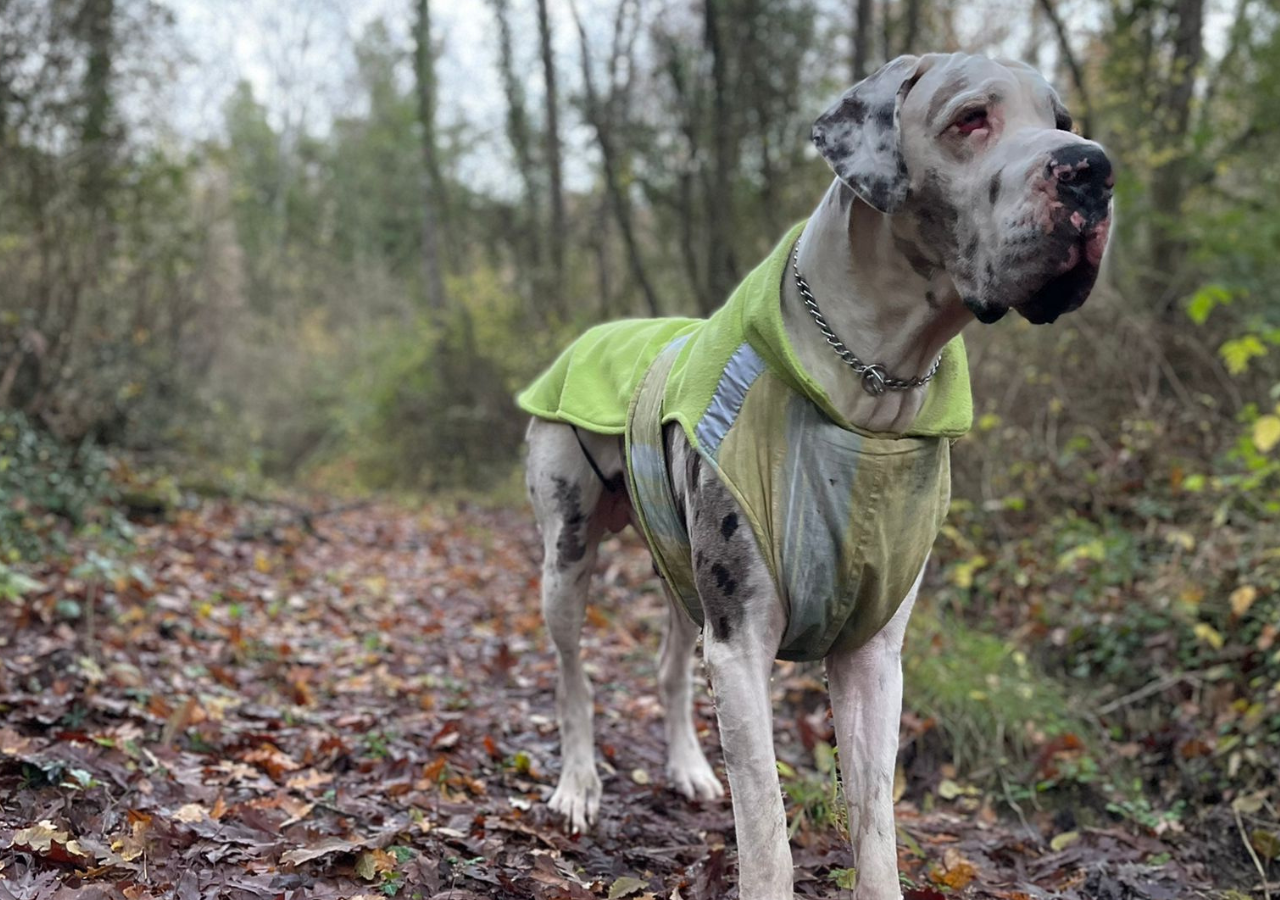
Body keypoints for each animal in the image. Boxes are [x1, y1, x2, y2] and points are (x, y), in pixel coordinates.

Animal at [517, 54, 1111, 900]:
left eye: (1061, 120)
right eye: (970, 119)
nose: (1093, 169)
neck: (871, 400)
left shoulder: (872, 656)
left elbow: (875, 821)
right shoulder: (740, 648)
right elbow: (767, 831)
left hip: (682, 572)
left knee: (668, 669)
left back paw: (687, 767)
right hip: (565, 558)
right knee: (573, 677)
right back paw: (577, 785)